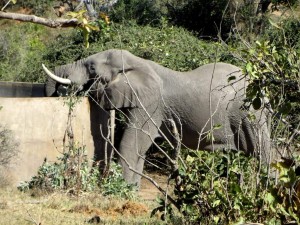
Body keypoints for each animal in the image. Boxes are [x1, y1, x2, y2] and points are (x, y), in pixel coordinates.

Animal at [43, 50, 274, 187]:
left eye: (91, 67)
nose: (60, 90)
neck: (139, 63)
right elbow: (140, 149)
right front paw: (131, 191)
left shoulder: (151, 103)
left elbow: (131, 143)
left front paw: (119, 191)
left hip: (249, 115)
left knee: (264, 153)